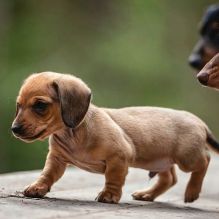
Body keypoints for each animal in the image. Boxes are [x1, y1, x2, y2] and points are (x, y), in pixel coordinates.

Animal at [11, 72, 219, 204]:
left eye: (40, 105)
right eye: (18, 106)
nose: (14, 129)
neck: (73, 133)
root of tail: (198, 120)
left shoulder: (119, 157)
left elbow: (113, 178)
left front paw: (109, 195)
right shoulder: (56, 159)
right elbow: (47, 174)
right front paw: (38, 187)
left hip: (187, 159)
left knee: (205, 161)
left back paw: (192, 191)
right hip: (160, 161)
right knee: (169, 179)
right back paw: (147, 195)